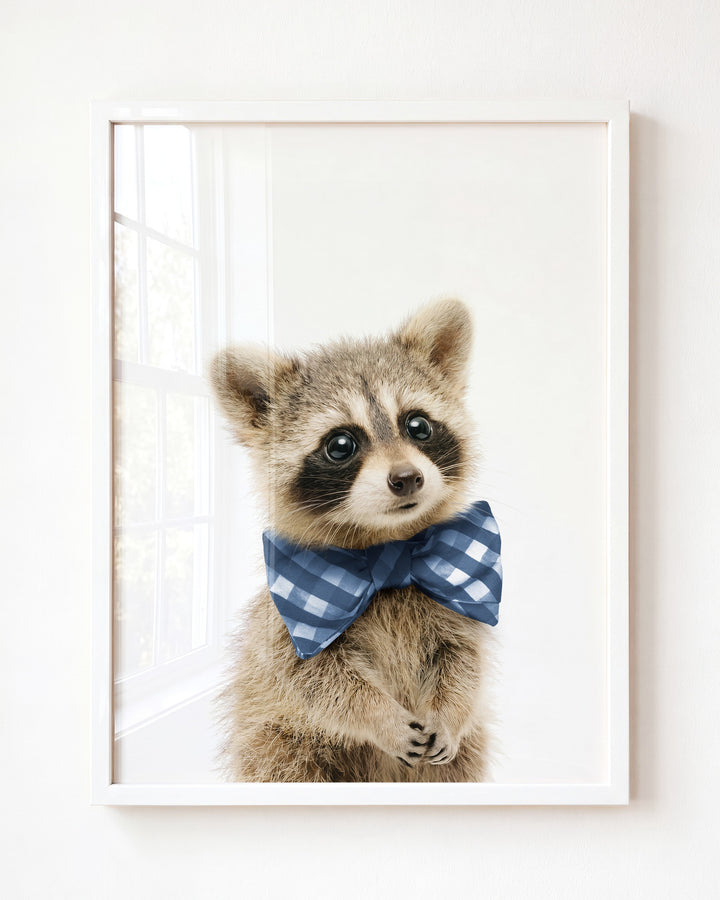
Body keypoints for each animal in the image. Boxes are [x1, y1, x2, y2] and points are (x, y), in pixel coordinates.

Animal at [209, 298, 496, 782]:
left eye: (418, 425)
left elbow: (464, 660)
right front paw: (379, 716)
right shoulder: (287, 624)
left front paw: (450, 711)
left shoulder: (454, 602)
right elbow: (316, 682)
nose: (407, 478)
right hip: (276, 743)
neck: (388, 547)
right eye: (341, 444)